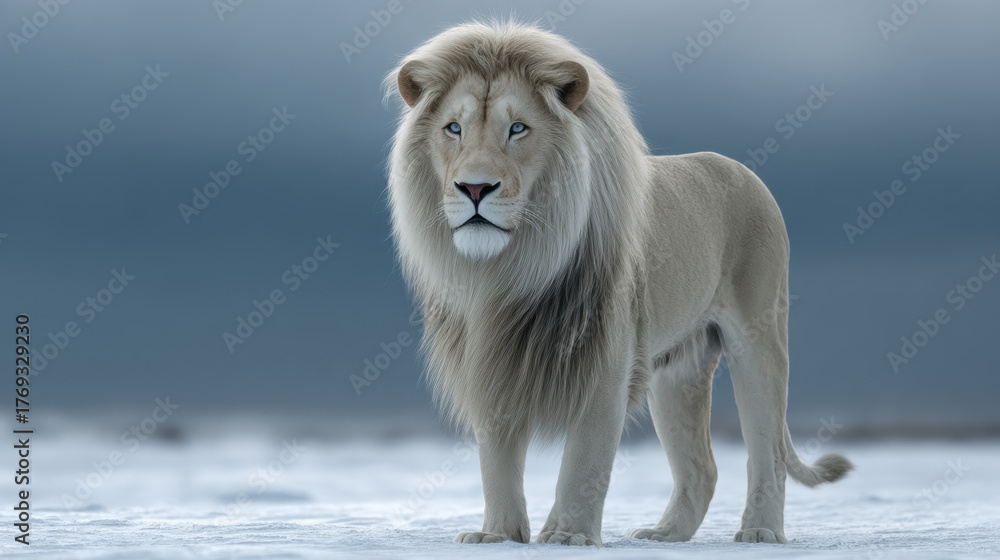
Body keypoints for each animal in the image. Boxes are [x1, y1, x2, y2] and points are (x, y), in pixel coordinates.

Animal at [385, 21, 852, 546]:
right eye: (454, 128)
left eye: (518, 128)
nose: (475, 188)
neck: (508, 272)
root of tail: (741, 169)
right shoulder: (492, 360)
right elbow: (496, 463)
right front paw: (498, 536)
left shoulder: (605, 360)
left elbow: (584, 460)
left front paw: (567, 536)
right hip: (678, 371)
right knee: (703, 469)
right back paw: (665, 535)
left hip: (758, 338)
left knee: (766, 450)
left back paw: (760, 533)